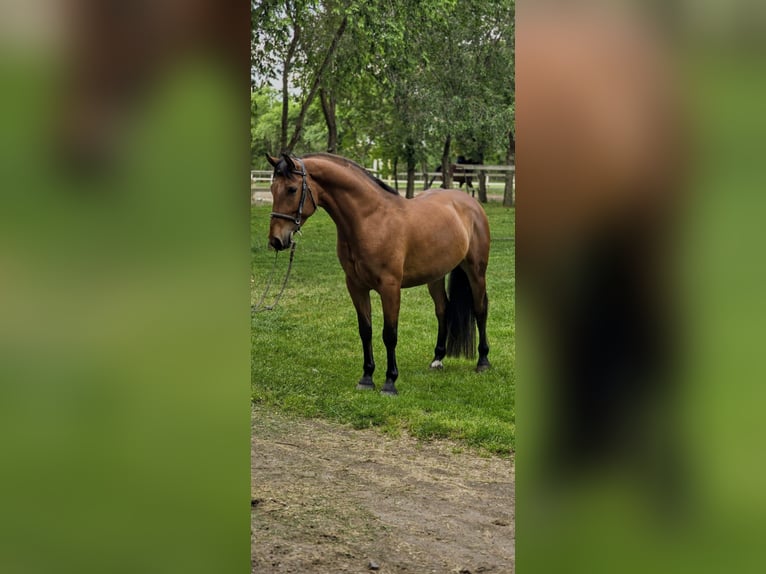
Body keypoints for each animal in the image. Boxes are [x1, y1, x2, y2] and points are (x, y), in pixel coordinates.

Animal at [264, 152, 492, 396]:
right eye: (272, 188)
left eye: (291, 189)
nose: (276, 240)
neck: (371, 220)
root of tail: (470, 203)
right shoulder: (356, 286)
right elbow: (366, 330)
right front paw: (366, 378)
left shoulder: (389, 288)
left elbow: (389, 334)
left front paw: (390, 382)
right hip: (435, 276)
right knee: (443, 309)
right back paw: (437, 358)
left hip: (476, 272)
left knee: (480, 310)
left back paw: (483, 362)